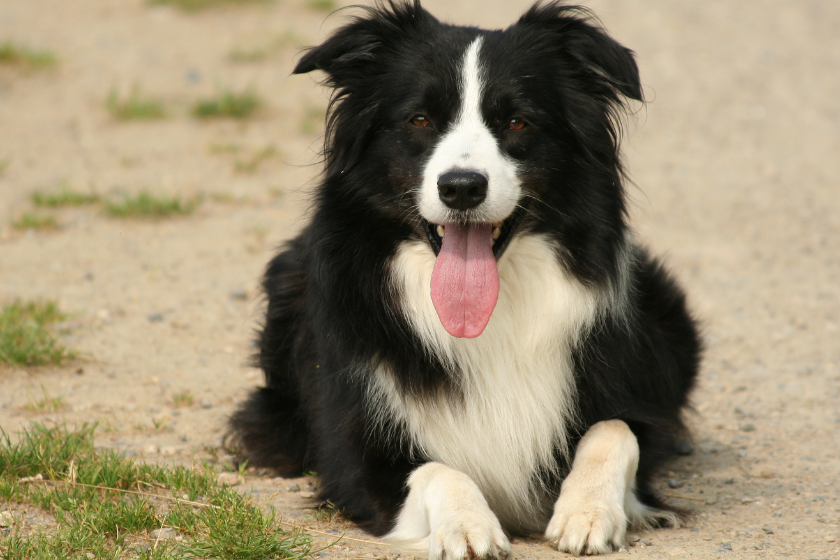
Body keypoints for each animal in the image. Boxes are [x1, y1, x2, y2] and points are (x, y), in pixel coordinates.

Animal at [230, 2, 704, 556]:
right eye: (419, 119)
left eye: (518, 121)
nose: (461, 187)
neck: (491, 318)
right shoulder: (354, 454)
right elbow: (437, 470)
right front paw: (468, 525)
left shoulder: (631, 400)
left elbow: (615, 431)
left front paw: (586, 512)